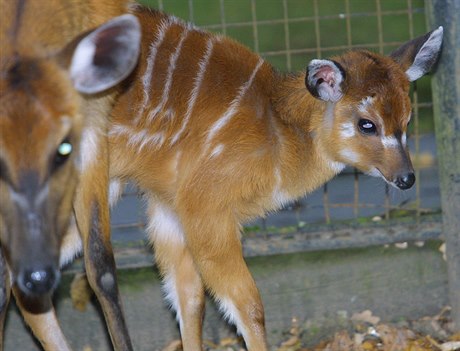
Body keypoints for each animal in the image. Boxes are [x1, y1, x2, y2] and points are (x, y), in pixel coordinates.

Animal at [107, 6, 442, 351]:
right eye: (367, 124)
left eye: (407, 120)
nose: (406, 178)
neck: (276, 133)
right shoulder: (204, 205)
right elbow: (249, 306)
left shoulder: (168, 204)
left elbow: (189, 299)